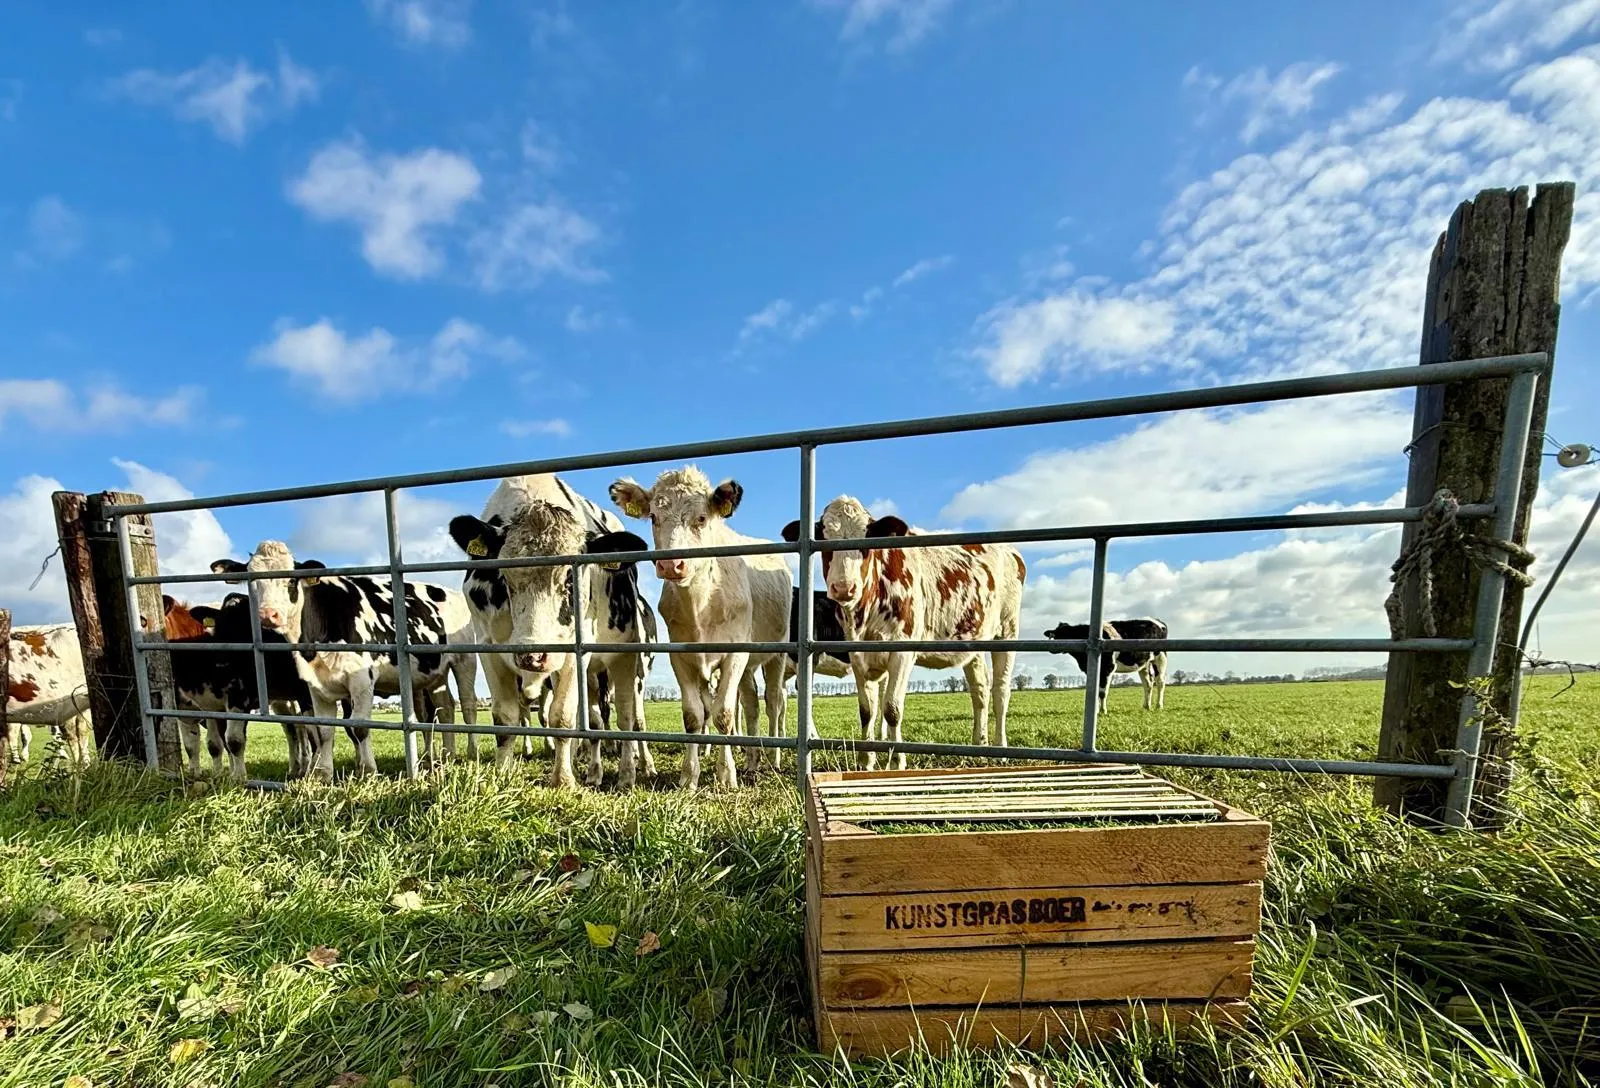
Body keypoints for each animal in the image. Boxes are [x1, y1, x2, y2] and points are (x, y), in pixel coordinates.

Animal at [213, 543, 478, 782]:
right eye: (252, 581)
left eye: (291, 581)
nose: (268, 615)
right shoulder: (316, 687)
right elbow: (324, 731)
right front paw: (324, 774)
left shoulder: (361, 681)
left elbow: (359, 727)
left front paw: (368, 771)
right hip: (434, 674)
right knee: (446, 708)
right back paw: (447, 757)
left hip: (465, 661)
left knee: (467, 706)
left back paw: (470, 754)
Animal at [448, 474, 658, 789]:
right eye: (504, 575)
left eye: (571, 577)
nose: (533, 656)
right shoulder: (488, 647)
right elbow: (505, 718)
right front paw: (502, 774)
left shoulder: (575, 651)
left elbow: (562, 716)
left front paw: (563, 780)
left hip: (625, 659)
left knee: (628, 717)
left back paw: (629, 772)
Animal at [610, 467, 791, 790]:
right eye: (654, 516)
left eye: (702, 518)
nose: (671, 565)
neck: (701, 601)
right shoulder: (682, 657)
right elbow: (695, 715)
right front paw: (689, 776)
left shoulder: (735, 654)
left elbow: (724, 714)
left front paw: (726, 775)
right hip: (745, 666)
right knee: (751, 703)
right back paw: (752, 762)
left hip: (776, 654)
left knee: (773, 701)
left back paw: (772, 759)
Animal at [810, 497, 1025, 770]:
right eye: (824, 538)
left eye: (866, 539)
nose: (844, 587)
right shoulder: (857, 656)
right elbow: (867, 711)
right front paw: (866, 762)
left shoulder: (903, 652)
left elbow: (891, 709)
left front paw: (896, 762)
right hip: (973, 641)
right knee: (980, 690)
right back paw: (979, 746)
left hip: (1007, 631)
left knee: (1000, 690)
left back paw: (1001, 749)